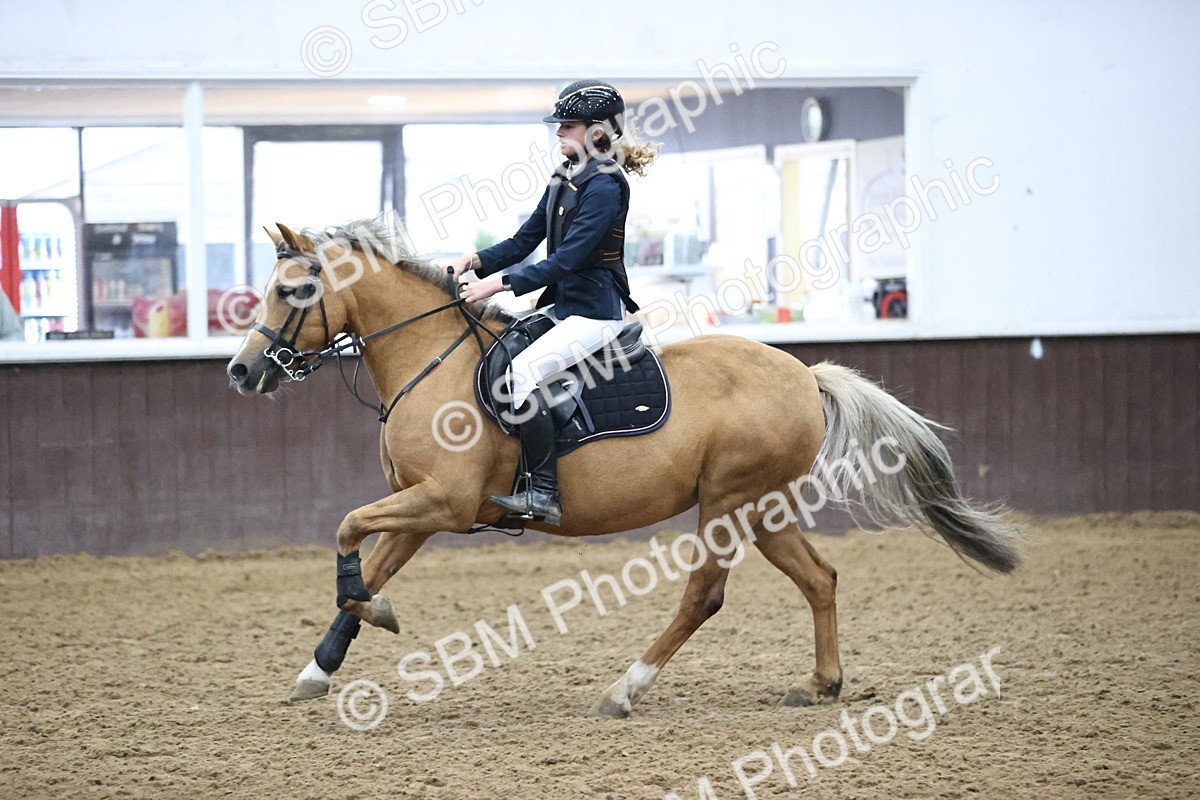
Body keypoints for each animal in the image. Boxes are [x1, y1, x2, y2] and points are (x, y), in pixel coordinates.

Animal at [226, 218, 1022, 718]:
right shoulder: (421, 508)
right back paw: (820, 685)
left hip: (728, 503)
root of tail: (803, 373)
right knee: (819, 579)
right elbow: (367, 566)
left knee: (704, 596)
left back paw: (625, 690)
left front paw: (372, 620)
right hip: (764, 507)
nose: (241, 371)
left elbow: (345, 531)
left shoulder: (444, 503)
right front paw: (320, 665)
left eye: (294, 291)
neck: (433, 359)